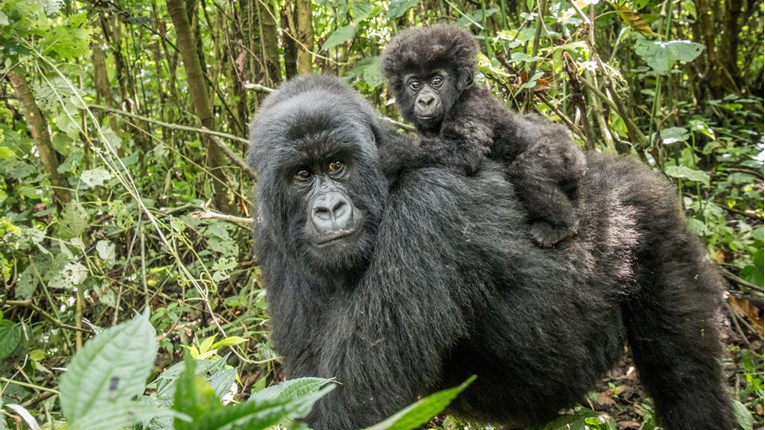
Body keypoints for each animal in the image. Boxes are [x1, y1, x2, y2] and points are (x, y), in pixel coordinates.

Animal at [248, 75, 732, 428]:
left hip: (653, 225)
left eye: (337, 165)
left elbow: (352, 406)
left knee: (686, 378)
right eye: (301, 175)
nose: (329, 208)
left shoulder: (428, 211)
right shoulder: (271, 235)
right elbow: (311, 385)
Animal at [382, 25, 584, 247]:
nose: (425, 100)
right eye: (415, 84)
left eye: (437, 81)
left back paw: (561, 227)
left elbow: (464, 151)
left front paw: (390, 153)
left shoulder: (471, 106)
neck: (459, 95)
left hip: (569, 156)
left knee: (528, 169)